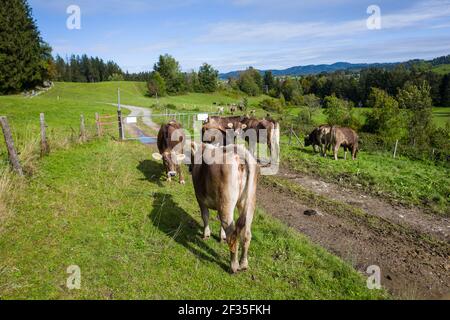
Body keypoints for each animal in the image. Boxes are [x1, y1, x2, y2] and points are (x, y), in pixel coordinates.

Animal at [190, 142, 258, 272]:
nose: (190, 168)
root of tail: (239, 153)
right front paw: (221, 237)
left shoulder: (199, 198)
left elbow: (205, 216)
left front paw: (206, 234)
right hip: (248, 202)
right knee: (246, 233)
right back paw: (243, 264)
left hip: (226, 202)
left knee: (232, 233)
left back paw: (234, 266)